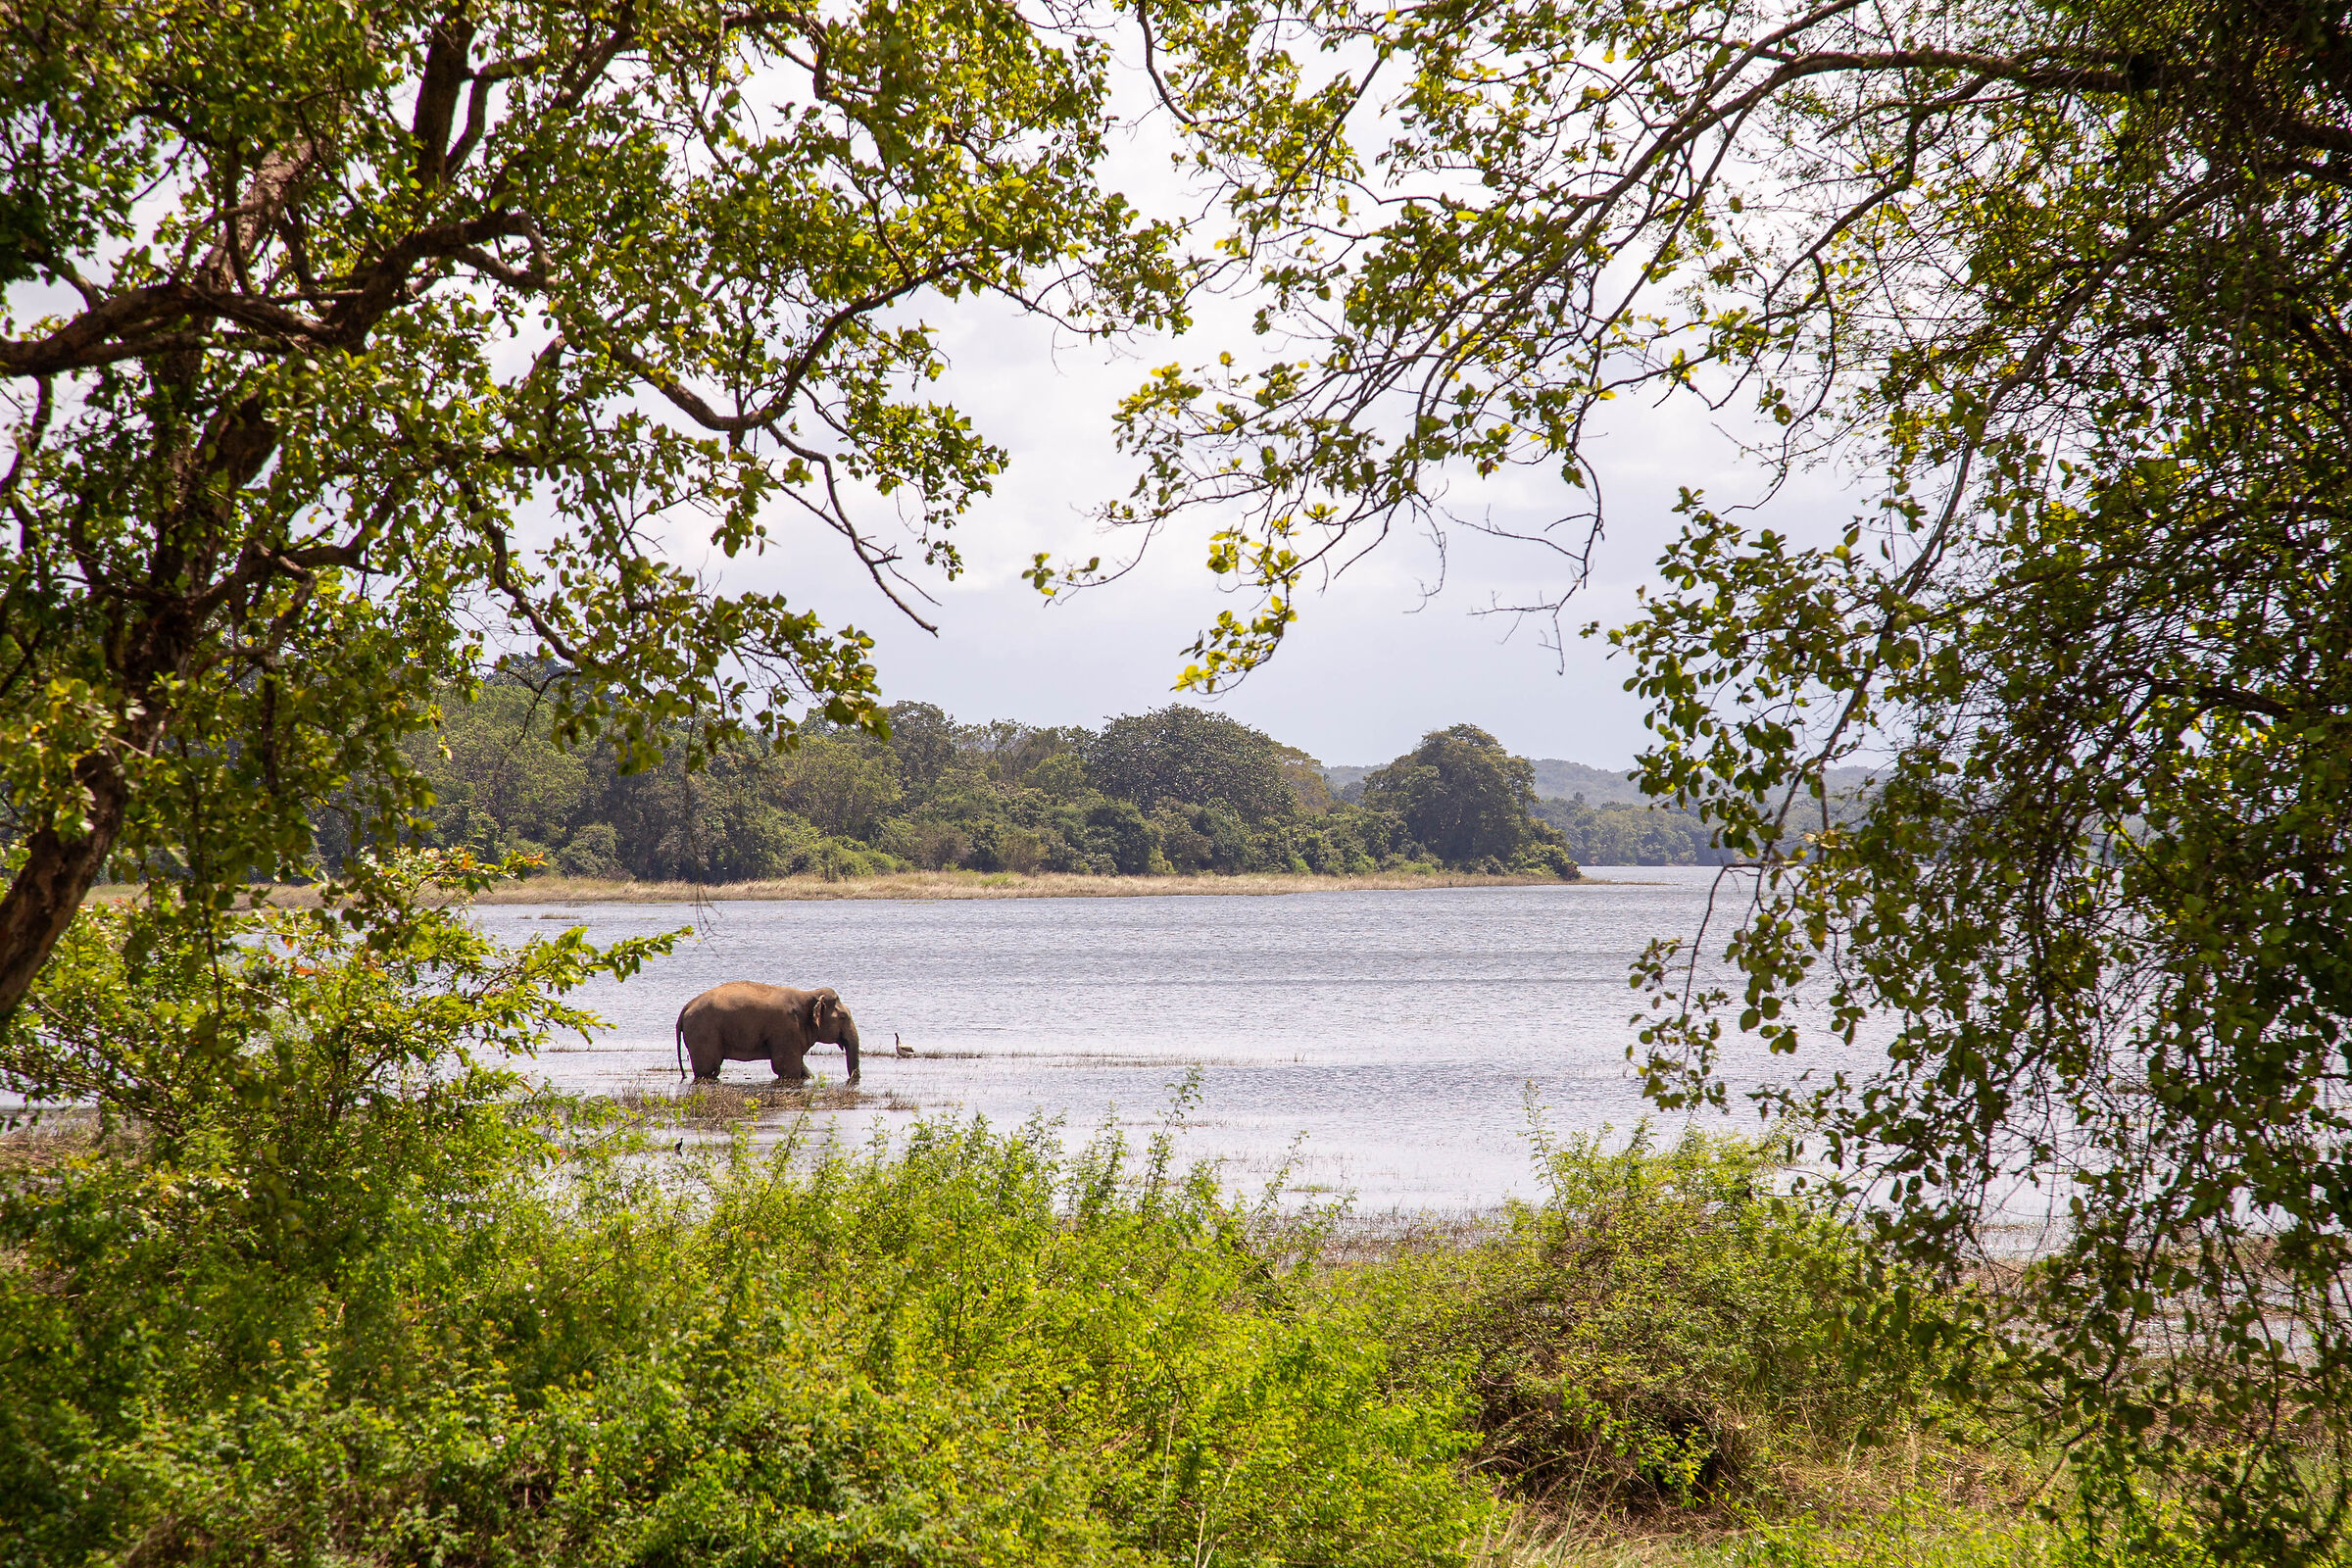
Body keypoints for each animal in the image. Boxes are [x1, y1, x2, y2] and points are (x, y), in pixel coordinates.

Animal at [675, 982, 862, 1084]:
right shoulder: (785, 1029)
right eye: (843, 1017)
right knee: (708, 1070)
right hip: (703, 1033)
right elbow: (788, 1068)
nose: (852, 1080)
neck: (808, 996)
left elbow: (799, 1068)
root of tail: (685, 1008)